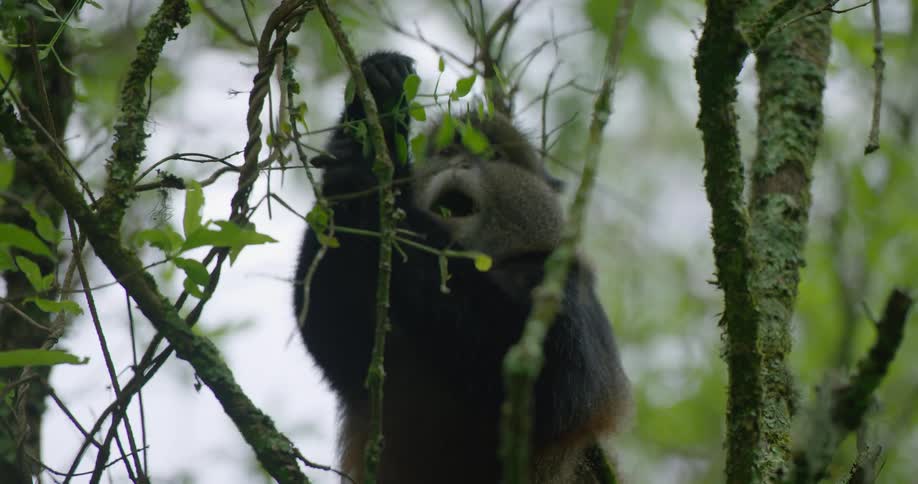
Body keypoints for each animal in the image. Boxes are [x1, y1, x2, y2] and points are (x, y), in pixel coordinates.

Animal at [293, 51, 630, 484]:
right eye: (447, 152)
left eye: (492, 155)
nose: (461, 162)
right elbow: (332, 334)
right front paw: (376, 110)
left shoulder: (564, 286)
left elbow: (545, 388)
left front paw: (376, 177)